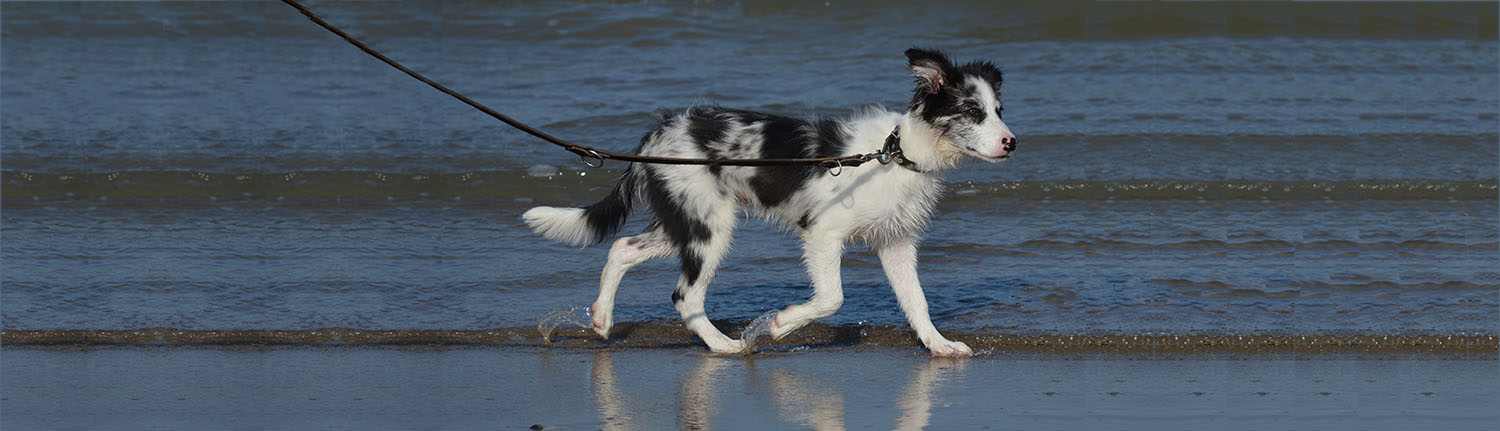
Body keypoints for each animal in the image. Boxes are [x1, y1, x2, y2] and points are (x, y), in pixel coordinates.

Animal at [522, 48, 1014, 357]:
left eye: (998, 110)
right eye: (972, 111)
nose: (1011, 142)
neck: (896, 154)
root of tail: (657, 135)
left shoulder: (895, 243)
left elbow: (917, 302)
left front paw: (939, 345)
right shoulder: (822, 233)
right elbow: (832, 297)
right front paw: (782, 324)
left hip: (686, 220)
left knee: (622, 249)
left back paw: (603, 318)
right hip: (709, 229)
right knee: (684, 295)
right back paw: (724, 346)